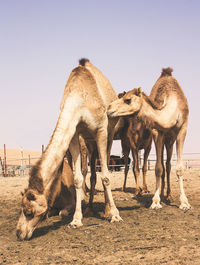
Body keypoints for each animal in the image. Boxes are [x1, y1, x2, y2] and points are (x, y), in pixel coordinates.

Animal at [15, 57, 121, 239]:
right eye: (21, 209)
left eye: (29, 211)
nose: (19, 233)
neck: (79, 99)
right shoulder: (74, 132)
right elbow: (77, 178)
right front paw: (76, 220)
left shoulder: (101, 130)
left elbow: (106, 176)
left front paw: (115, 215)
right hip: (88, 141)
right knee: (92, 173)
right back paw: (89, 209)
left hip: (109, 135)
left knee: (105, 165)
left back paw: (107, 209)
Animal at [108, 67, 191, 209]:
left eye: (128, 100)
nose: (109, 109)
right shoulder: (156, 131)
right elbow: (157, 168)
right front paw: (156, 201)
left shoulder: (182, 130)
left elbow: (179, 168)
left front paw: (184, 202)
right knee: (162, 165)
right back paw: (162, 194)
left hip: (170, 140)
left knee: (168, 165)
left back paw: (168, 195)